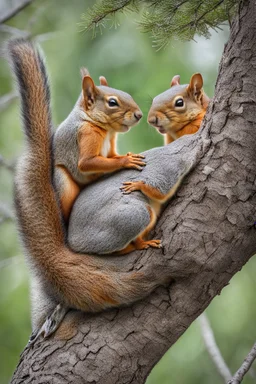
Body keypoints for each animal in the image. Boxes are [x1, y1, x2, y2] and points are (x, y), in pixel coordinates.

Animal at [52, 68, 145, 222]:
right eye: (112, 102)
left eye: (128, 95)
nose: (139, 115)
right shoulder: (87, 133)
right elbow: (86, 162)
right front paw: (127, 160)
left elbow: (113, 156)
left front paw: (127, 155)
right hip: (64, 183)